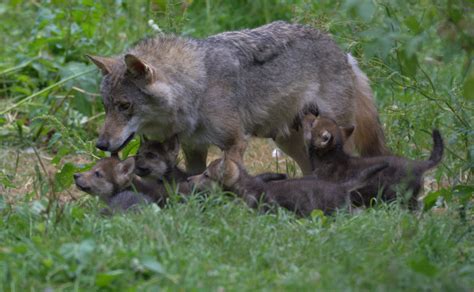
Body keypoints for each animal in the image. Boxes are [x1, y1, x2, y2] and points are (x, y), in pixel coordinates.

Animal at [87, 22, 386, 176]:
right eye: (106, 107)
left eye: (125, 106)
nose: (101, 144)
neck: (197, 86)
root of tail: (343, 51)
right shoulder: (194, 148)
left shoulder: (234, 143)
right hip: (291, 142)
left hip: (329, 136)